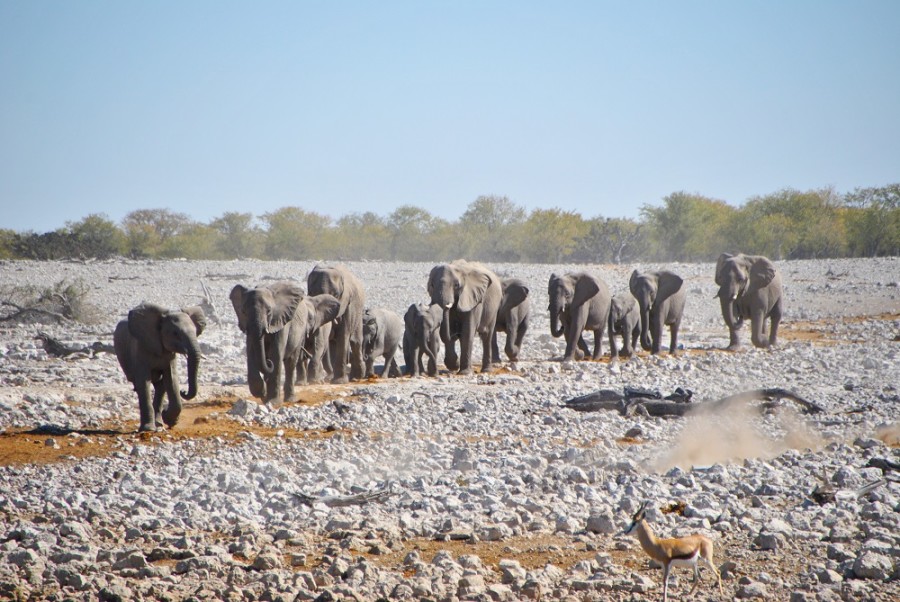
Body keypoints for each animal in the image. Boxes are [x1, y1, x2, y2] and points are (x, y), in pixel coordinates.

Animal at [113, 304, 207, 432]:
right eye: (175, 333)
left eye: (196, 332)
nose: (183, 391)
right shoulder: (140, 349)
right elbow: (144, 382)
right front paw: (148, 429)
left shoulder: (170, 356)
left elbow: (171, 379)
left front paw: (170, 420)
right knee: (139, 385)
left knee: (161, 385)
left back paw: (159, 424)